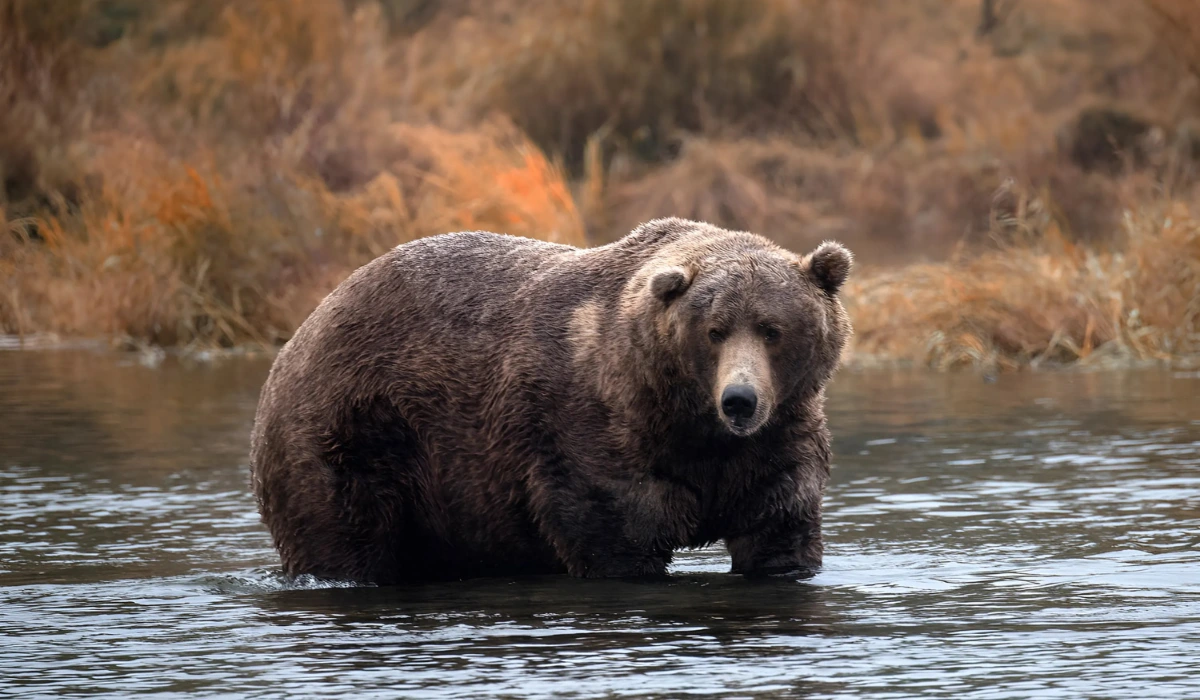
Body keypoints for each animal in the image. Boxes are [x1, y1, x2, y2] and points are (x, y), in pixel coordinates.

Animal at [249, 217, 853, 583]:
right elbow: (617, 533)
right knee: (344, 534)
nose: (740, 400)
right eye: (714, 331)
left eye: (772, 329)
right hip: (354, 432)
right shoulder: (593, 434)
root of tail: (299, 335)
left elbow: (778, 527)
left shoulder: (775, 441)